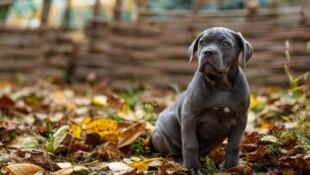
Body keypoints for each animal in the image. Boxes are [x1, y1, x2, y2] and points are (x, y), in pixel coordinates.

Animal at [151, 27, 253, 171]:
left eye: (225, 43)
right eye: (202, 43)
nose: (208, 52)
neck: (220, 85)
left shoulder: (241, 119)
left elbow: (234, 146)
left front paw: (232, 167)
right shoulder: (189, 117)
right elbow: (190, 145)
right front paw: (192, 167)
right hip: (161, 134)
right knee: (173, 152)